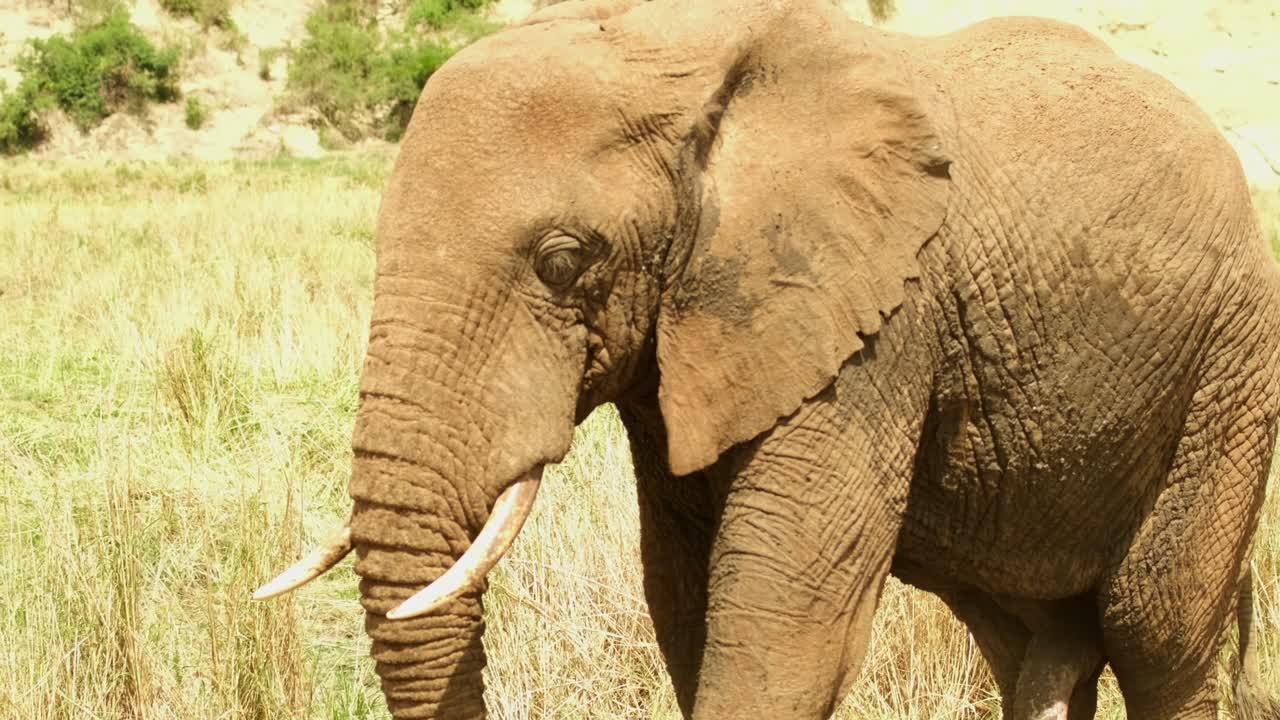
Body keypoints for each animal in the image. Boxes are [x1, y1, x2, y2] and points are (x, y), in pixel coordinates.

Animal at [252, 0, 1280, 718]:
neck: (677, 56)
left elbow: (784, 620)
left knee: (1156, 627)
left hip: (1230, 371)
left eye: (563, 262)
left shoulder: (877, 320)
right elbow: (684, 598)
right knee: (1031, 634)